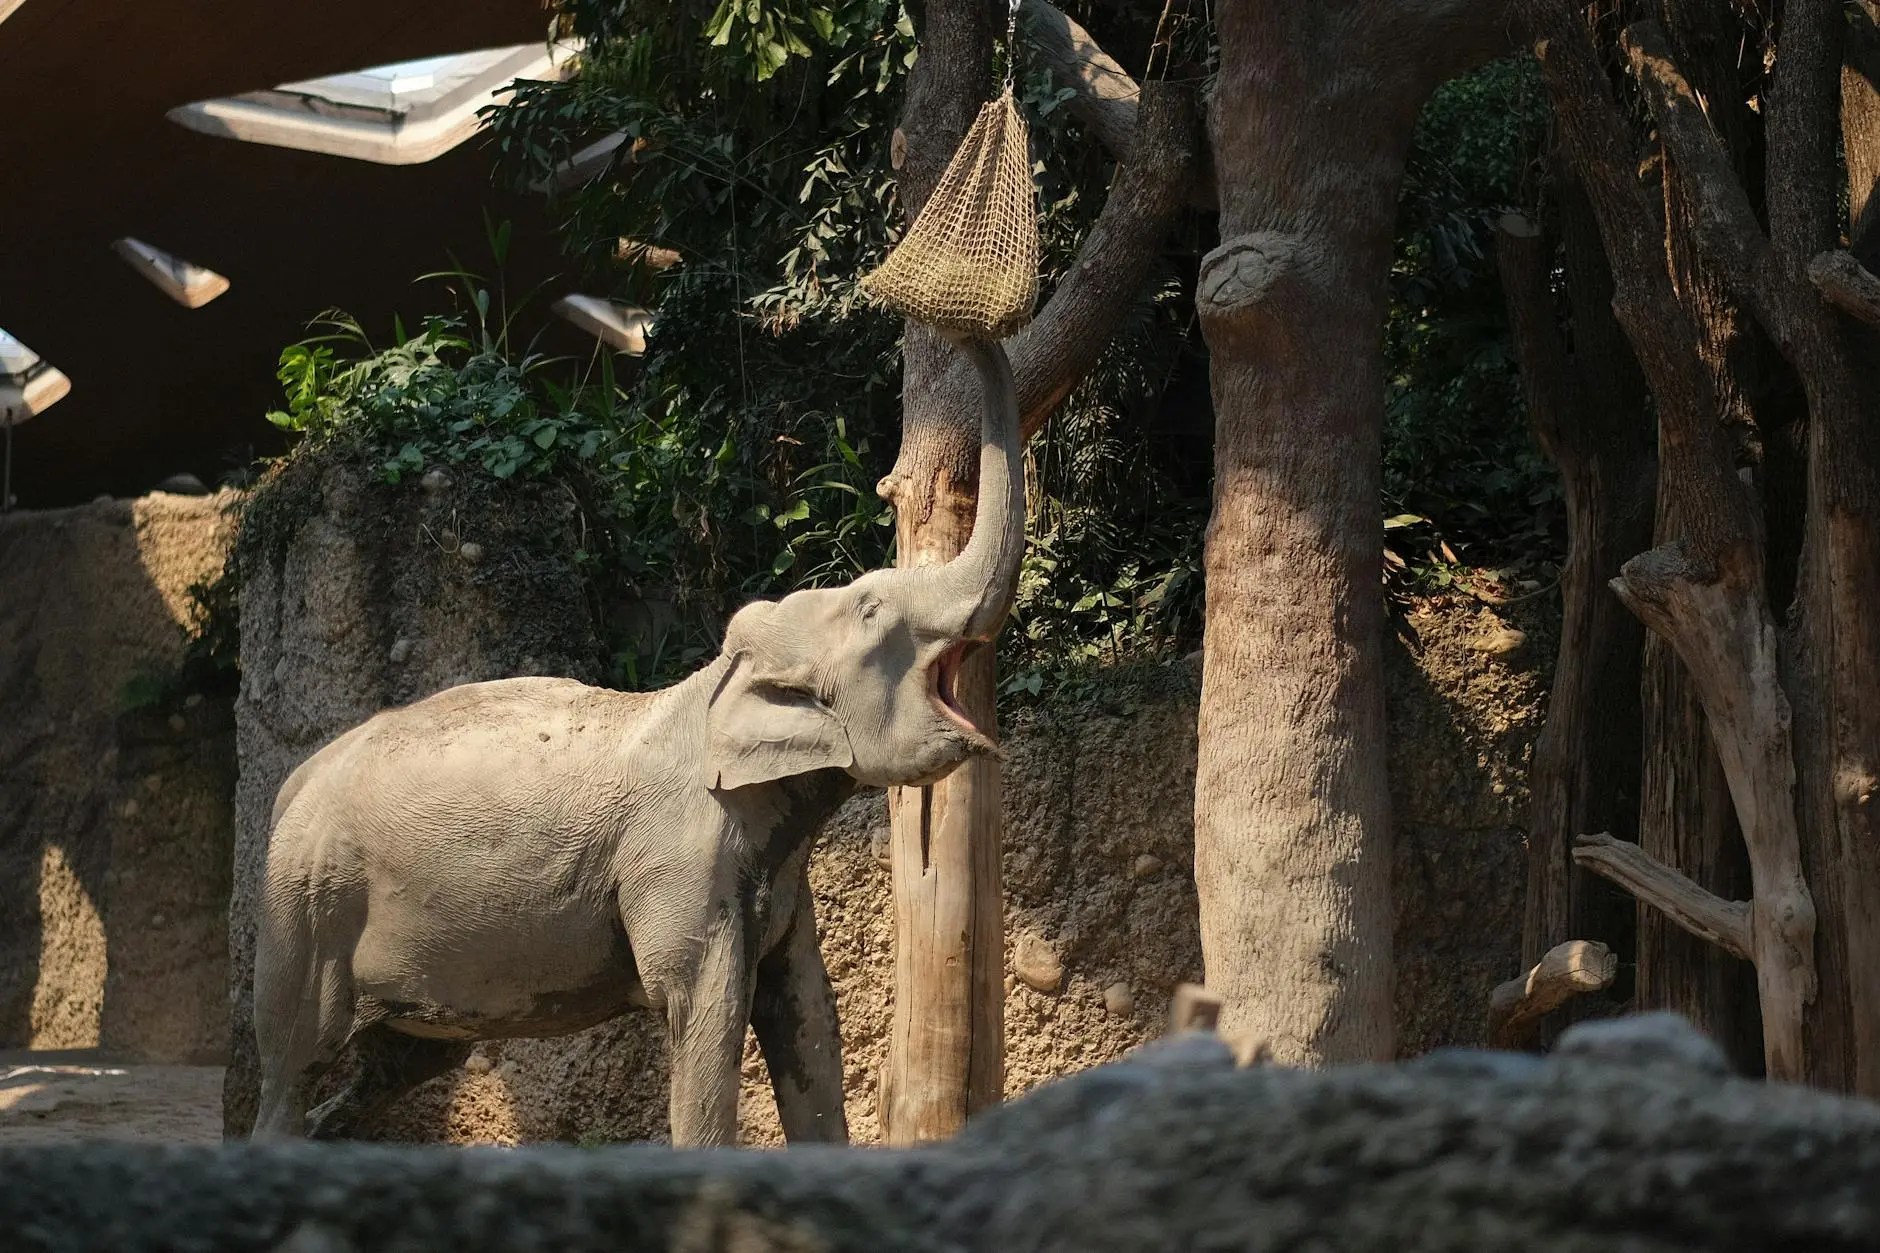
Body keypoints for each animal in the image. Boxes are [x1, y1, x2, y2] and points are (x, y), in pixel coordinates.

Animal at [248, 334, 1023, 1148]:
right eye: (873, 611)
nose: (971, 328)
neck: (713, 687)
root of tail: (293, 782)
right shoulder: (680, 862)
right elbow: (703, 1015)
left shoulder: (781, 883)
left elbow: (809, 1018)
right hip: (307, 903)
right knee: (296, 1059)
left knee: (398, 1062)